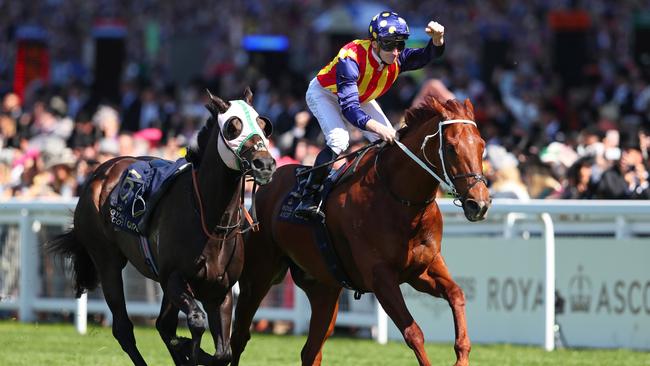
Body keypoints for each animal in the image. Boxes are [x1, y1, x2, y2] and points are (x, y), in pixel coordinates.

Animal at [48, 89, 274, 366]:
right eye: (233, 126)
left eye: (264, 125)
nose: (265, 164)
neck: (211, 220)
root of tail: (101, 171)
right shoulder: (174, 277)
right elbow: (196, 323)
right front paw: (189, 348)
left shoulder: (220, 290)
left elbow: (223, 352)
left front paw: (190, 350)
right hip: (107, 260)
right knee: (124, 328)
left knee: (162, 325)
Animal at [230, 96, 488, 364]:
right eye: (451, 147)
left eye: (482, 145)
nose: (479, 204)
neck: (400, 201)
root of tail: (266, 184)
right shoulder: (380, 277)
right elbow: (413, 333)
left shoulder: (423, 269)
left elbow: (457, 294)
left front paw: (462, 355)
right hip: (258, 276)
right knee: (239, 336)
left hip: (323, 287)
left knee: (311, 351)